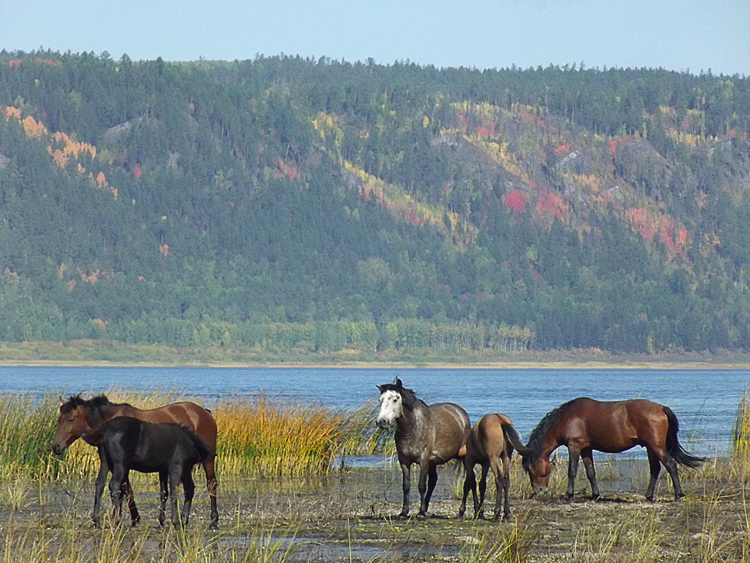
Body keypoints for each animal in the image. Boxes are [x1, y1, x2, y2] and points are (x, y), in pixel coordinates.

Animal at [50, 396, 217, 528]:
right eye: (59, 420)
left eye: (71, 419)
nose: (56, 446)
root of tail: (204, 412)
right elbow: (124, 489)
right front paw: (132, 517)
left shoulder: (122, 466)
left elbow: (124, 489)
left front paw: (131, 517)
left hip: (207, 460)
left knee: (211, 484)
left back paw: (213, 520)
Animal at [376, 378, 470, 520]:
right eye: (380, 400)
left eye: (395, 399)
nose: (382, 421)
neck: (413, 428)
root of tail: (461, 413)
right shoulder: (404, 461)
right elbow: (406, 486)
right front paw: (404, 512)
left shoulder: (424, 459)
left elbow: (421, 485)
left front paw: (420, 513)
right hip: (433, 463)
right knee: (433, 482)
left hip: (463, 458)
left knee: (468, 482)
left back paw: (462, 512)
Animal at [524, 396, 704, 502]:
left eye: (530, 469)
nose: (539, 490)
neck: (567, 418)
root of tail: (661, 408)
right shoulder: (586, 448)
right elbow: (591, 472)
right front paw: (595, 495)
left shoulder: (574, 446)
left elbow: (572, 471)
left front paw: (568, 495)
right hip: (650, 448)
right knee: (655, 469)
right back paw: (648, 496)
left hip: (657, 447)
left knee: (671, 465)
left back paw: (677, 495)